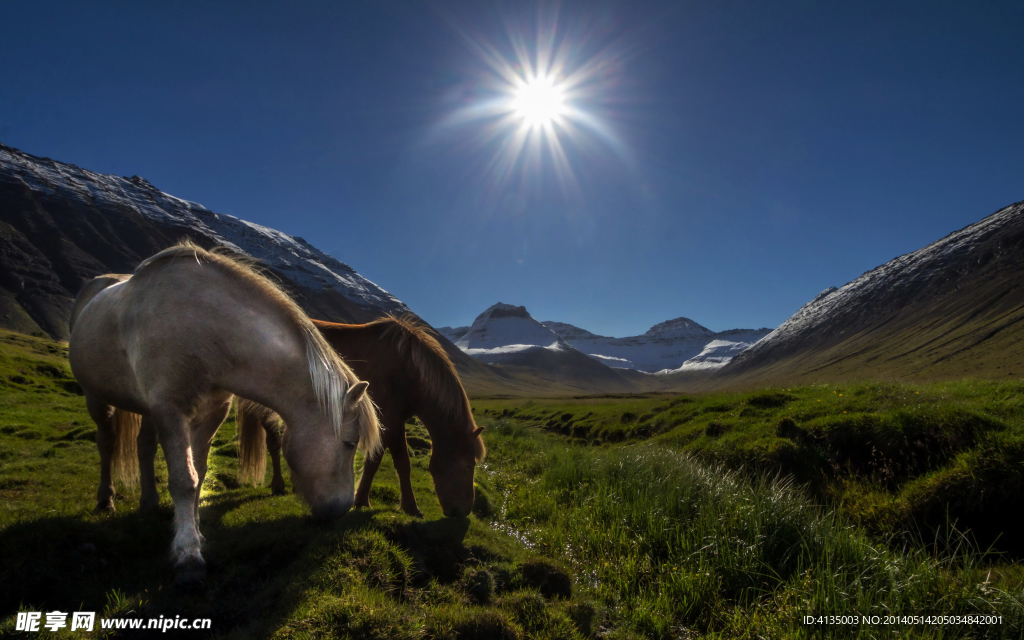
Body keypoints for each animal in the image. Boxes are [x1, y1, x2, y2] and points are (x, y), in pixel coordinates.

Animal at [68, 242, 381, 582]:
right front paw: (188, 554)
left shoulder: (212, 412)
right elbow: (184, 480)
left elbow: (199, 473)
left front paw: (195, 533)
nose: (342, 509)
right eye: (349, 443)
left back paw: (149, 502)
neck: (207, 328)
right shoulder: (169, 408)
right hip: (97, 398)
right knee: (106, 443)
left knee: (144, 447)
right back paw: (105, 499)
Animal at [235, 316, 485, 518]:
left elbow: (375, 461)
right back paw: (278, 485)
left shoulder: (388, 423)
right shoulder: (392, 422)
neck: (407, 370)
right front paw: (410, 507)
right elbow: (401, 463)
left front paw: (362, 499)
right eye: (467, 465)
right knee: (273, 442)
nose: (464, 511)